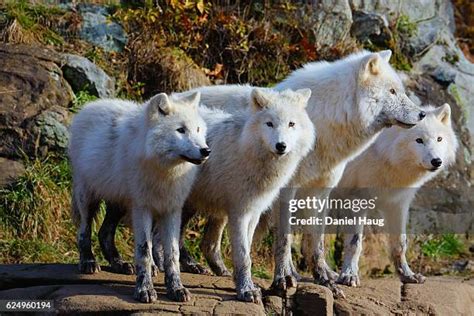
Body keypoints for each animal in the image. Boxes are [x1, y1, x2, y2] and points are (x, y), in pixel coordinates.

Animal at [68, 91, 209, 304]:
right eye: (181, 130)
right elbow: (144, 251)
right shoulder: (142, 208)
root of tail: (90, 106)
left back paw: (120, 264)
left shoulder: (171, 210)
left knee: (104, 233)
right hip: (89, 198)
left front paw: (176, 288)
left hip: (119, 205)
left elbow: (172, 254)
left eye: (198, 129)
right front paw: (145, 290)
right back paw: (88, 261)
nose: (206, 151)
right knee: (84, 231)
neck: (166, 172)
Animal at [179, 50, 426, 296]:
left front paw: (324, 279)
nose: (422, 114)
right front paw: (283, 279)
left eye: (400, 90)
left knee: (209, 241)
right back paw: (191, 265)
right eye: (392, 91)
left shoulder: (320, 192)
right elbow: (284, 241)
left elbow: (316, 243)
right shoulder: (285, 192)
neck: (325, 124)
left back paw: (219, 269)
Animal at [336, 103, 458, 286]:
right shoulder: (356, 200)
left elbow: (400, 243)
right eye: (419, 140)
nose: (437, 161)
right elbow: (354, 243)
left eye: (439, 139)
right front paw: (349, 275)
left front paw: (407, 275)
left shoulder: (397, 204)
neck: (384, 154)